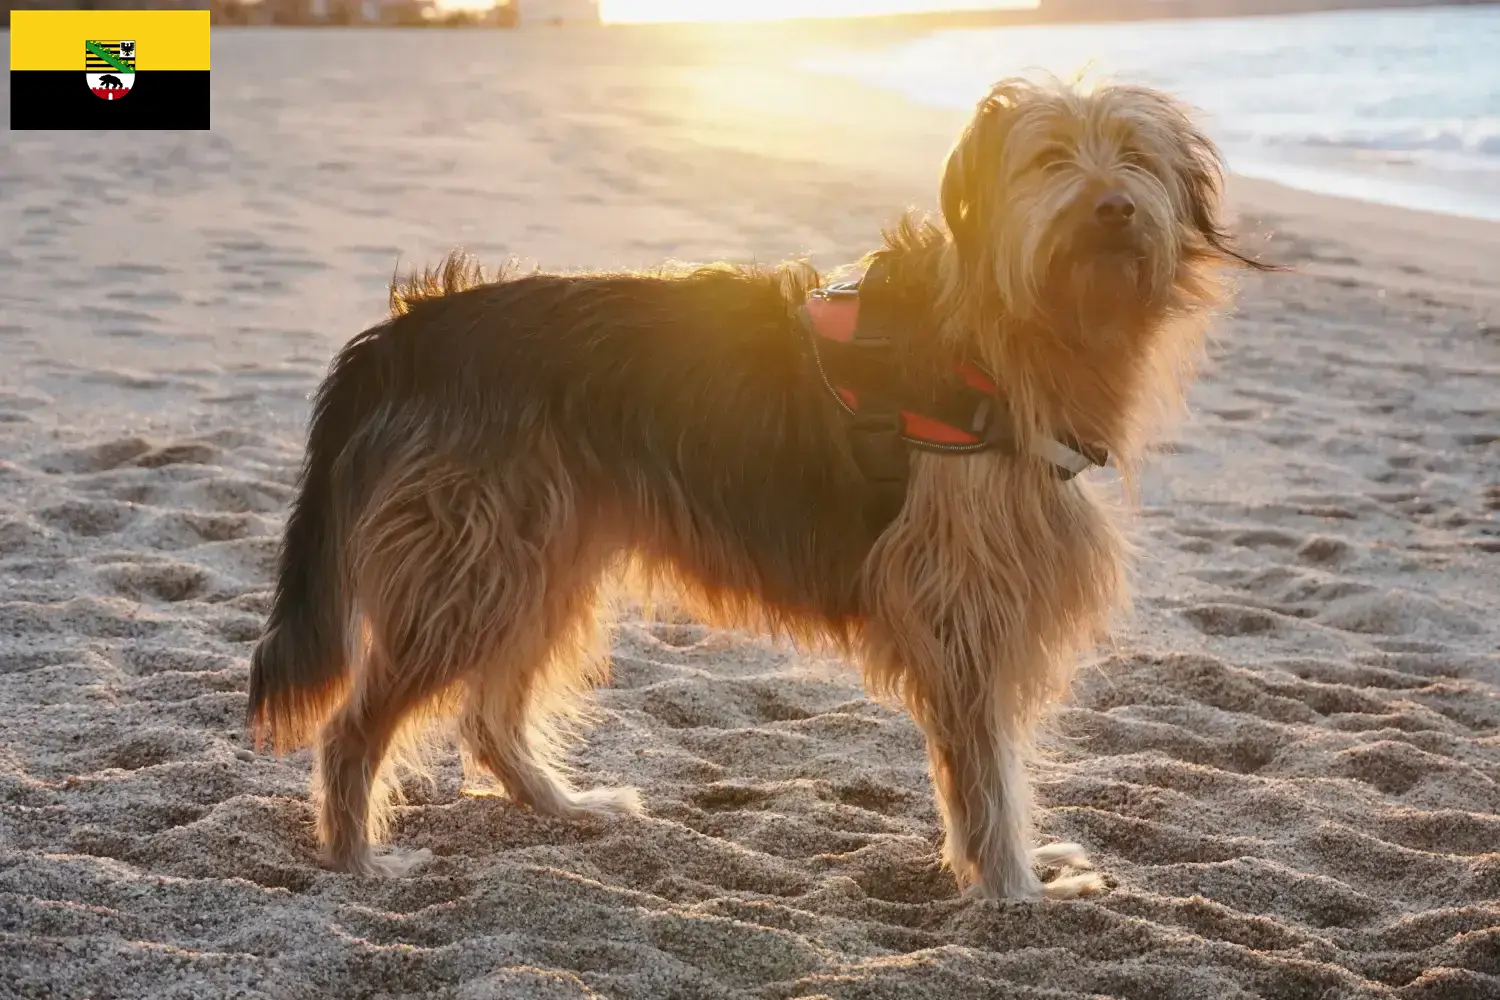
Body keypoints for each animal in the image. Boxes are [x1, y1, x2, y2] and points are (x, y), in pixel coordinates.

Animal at [252, 76, 1272, 899]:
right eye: (1051, 157)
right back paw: (358, 856)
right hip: (475, 560)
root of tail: (408, 333)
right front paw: (1014, 884)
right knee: (354, 726)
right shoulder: (963, 598)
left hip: (540, 555)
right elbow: (988, 768)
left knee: (489, 716)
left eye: (1134, 156)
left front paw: (1015, 870)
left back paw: (563, 804)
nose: (1112, 208)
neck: (1004, 333)